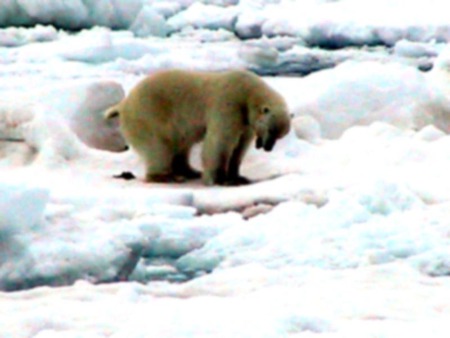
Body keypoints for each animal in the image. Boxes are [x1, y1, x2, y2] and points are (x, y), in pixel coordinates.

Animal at [105, 68, 290, 185]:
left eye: (280, 136)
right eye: (271, 130)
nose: (268, 148)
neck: (248, 93)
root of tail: (123, 104)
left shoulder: (245, 122)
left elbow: (240, 147)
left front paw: (238, 176)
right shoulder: (228, 104)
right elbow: (219, 142)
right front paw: (220, 179)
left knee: (181, 145)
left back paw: (190, 171)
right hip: (148, 117)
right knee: (158, 148)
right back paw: (167, 177)